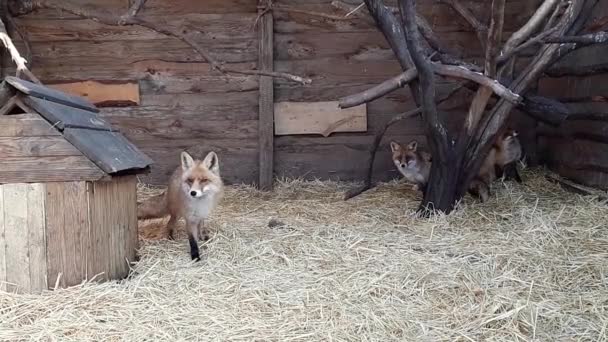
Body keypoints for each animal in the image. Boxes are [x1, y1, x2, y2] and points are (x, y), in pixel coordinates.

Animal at [392, 130, 524, 202]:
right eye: (399, 158)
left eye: (408, 158)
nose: (403, 165)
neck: (413, 172)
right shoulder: (419, 180)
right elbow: (419, 187)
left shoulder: (427, 179)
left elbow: (425, 191)